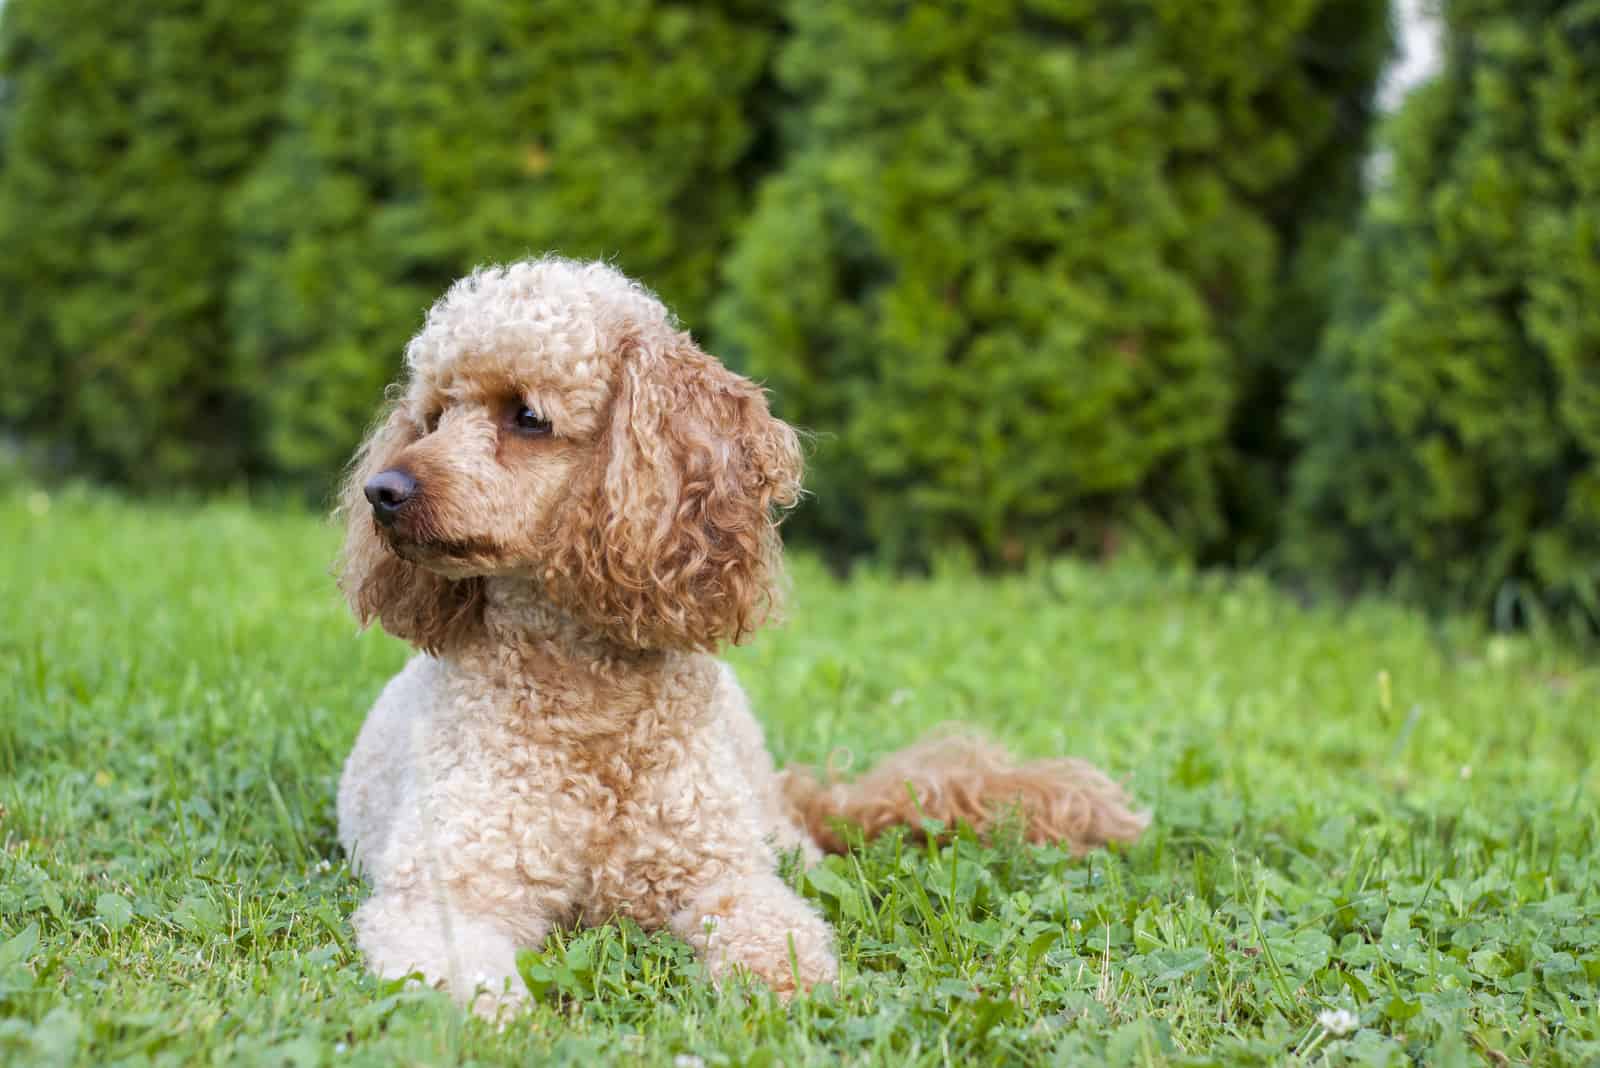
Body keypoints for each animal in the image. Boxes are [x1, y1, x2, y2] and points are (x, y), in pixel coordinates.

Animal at [334, 254, 1152, 1016]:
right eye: (434, 416)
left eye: (527, 417)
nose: (384, 491)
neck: (588, 699)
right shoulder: (444, 891)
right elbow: (461, 978)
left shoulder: (724, 874)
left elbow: (776, 933)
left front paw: (792, 997)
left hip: (770, 829)